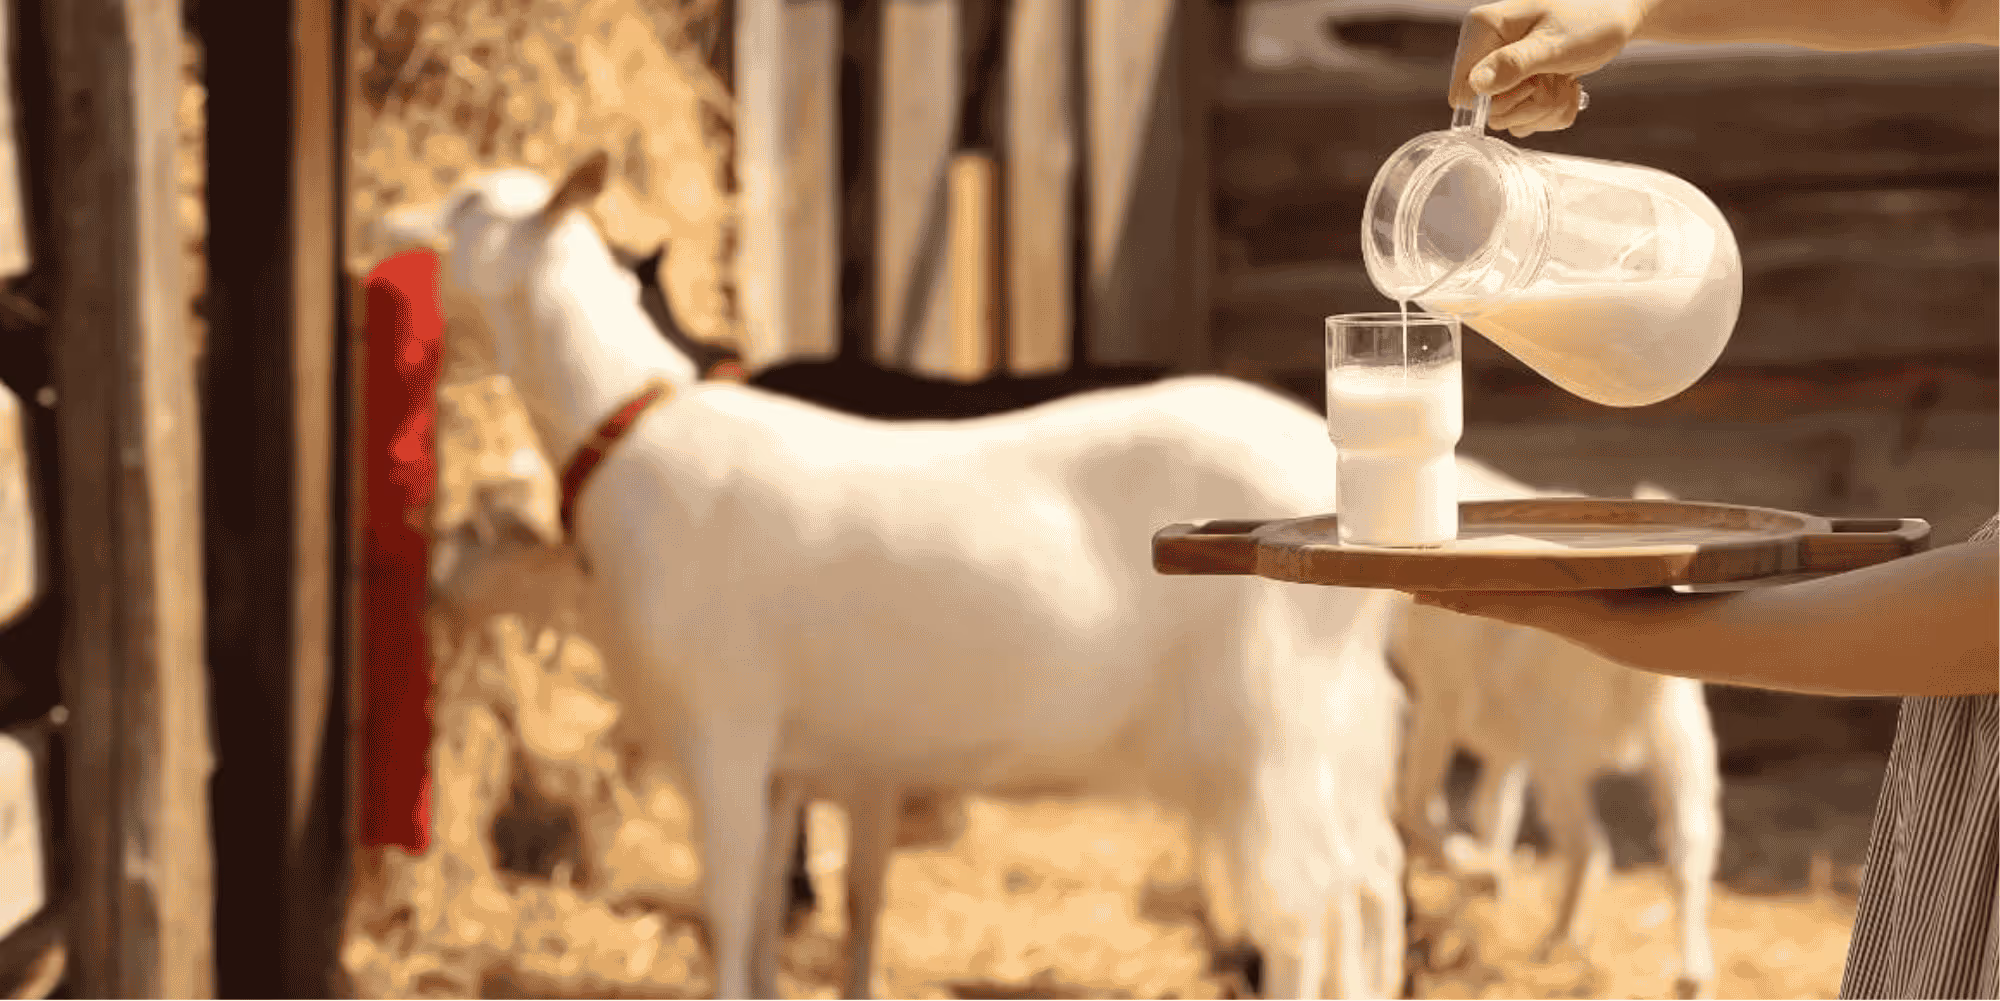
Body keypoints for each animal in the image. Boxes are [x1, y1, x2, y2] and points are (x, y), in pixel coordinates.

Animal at [385, 151, 1409, 1000]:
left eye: (471, 204)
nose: (388, 223)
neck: (628, 433)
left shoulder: (725, 727)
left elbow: (728, 905)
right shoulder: (788, 763)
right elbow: (768, 914)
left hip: (1266, 733)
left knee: (1307, 907)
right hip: (1335, 729)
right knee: (1368, 882)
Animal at [1388, 475, 1722, 1000]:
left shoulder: (1439, 704)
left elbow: (1422, 807)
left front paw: (1473, 879)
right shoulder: (1506, 743)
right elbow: (1493, 813)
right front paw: (1483, 888)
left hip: (1561, 753)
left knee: (1590, 846)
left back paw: (1557, 941)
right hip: (1681, 746)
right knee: (1688, 849)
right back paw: (1691, 973)